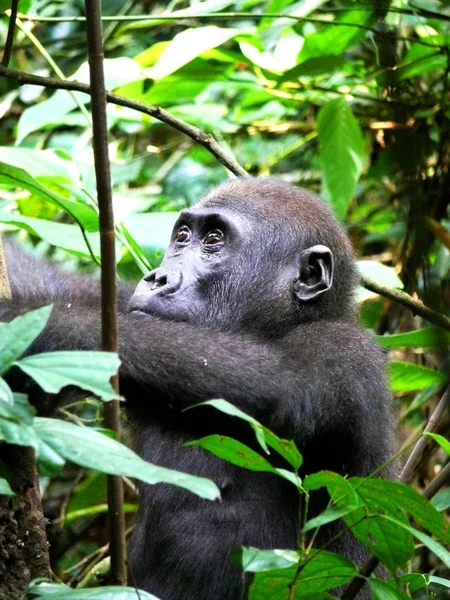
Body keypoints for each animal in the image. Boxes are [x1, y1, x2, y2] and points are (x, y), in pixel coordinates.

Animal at [0, 178, 394, 600]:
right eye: (183, 236)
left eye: (213, 240)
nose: (158, 278)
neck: (283, 322)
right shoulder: (118, 300)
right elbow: (56, 288)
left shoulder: (345, 354)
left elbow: (278, 389)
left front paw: (22, 326)